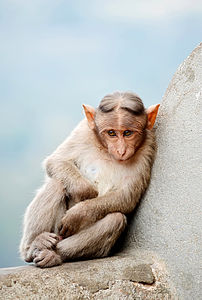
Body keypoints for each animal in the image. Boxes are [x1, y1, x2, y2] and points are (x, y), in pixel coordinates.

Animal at [19, 91, 160, 268]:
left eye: (128, 133)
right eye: (111, 133)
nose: (121, 150)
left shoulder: (148, 145)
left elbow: (127, 195)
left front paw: (78, 213)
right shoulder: (83, 130)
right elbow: (56, 161)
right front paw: (85, 193)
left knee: (115, 219)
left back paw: (55, 255)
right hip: (56, 231)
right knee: (57, 183)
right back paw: (34, 246)